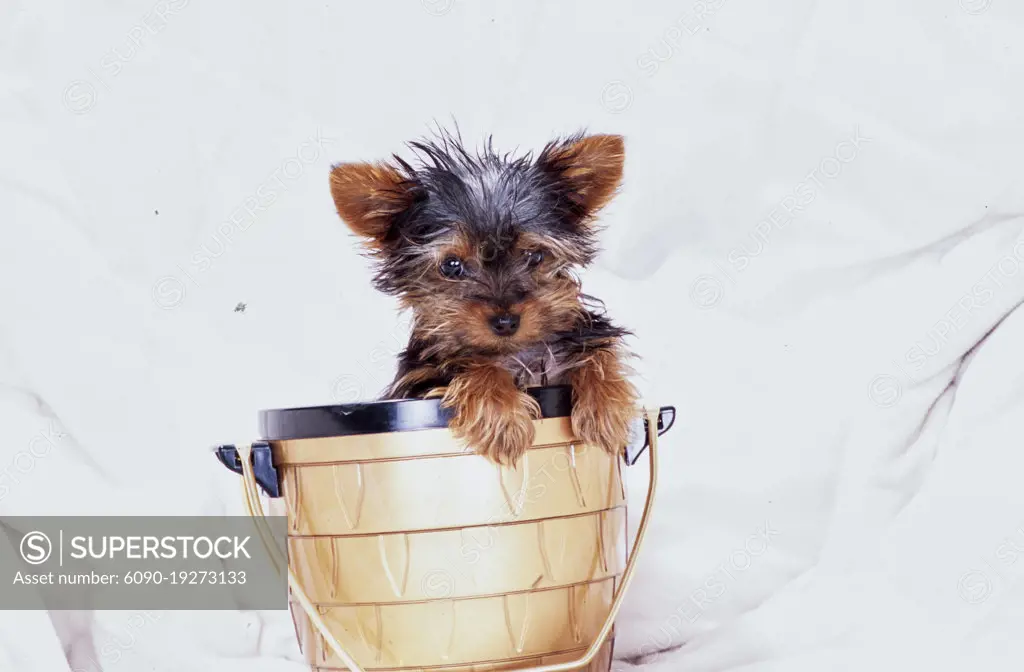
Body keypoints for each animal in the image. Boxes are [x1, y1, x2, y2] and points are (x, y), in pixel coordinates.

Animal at [327, 132, 634, 467]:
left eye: (535, 256)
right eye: (451, 266)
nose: (505, 322)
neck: (513, 354)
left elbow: (597, 352)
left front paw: (606, 410)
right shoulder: (418, 380)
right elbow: (469, 363)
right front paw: (503, 420)